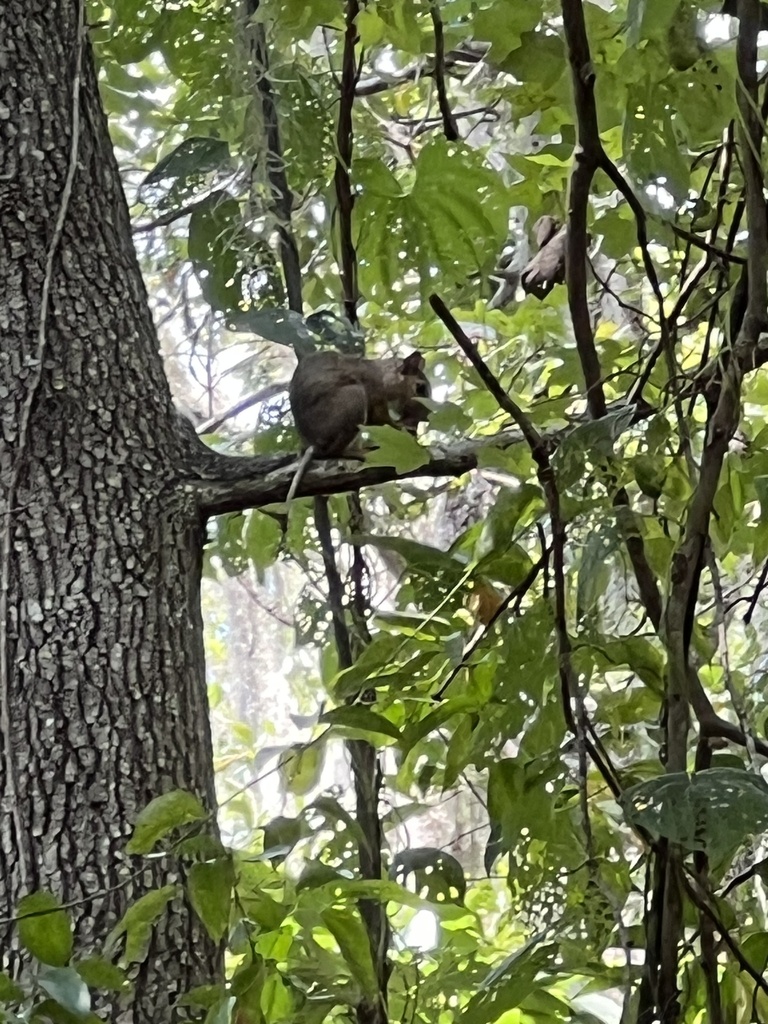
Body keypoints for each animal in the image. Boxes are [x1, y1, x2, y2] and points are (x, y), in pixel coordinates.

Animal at [286, 350, 434, 501]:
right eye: (420, 388)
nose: (427, 416)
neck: (382, 374)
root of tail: (311, 444)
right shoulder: (375, 394)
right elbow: (383, 420)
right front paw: (405, 429)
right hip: (353, 397)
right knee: (330, 453)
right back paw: (360, 453)